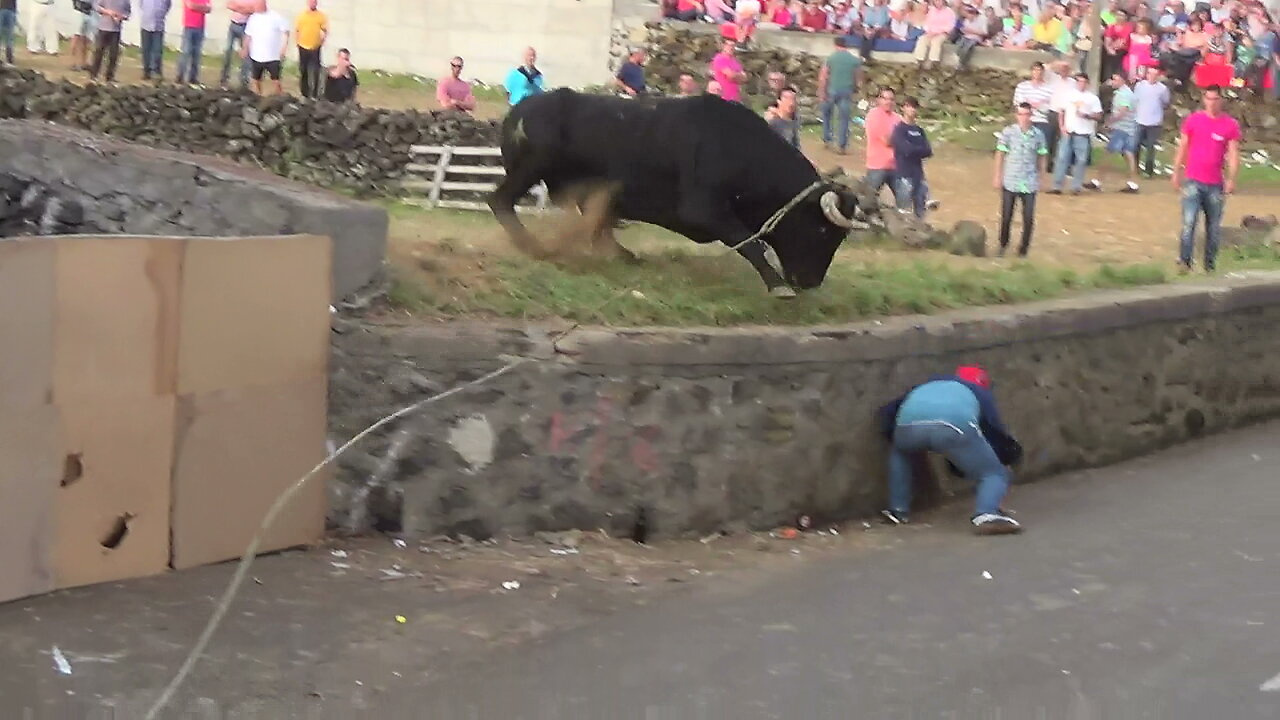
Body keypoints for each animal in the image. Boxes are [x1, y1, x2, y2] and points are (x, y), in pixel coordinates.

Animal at [486, 88, 860, 295]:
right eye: (822, 230)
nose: (810, 282)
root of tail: (520, 111)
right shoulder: (704, 210)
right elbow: (750, 243)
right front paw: (777, 285)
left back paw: (621, 254)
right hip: (531, 168)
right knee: (500, 200)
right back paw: (534, 247)